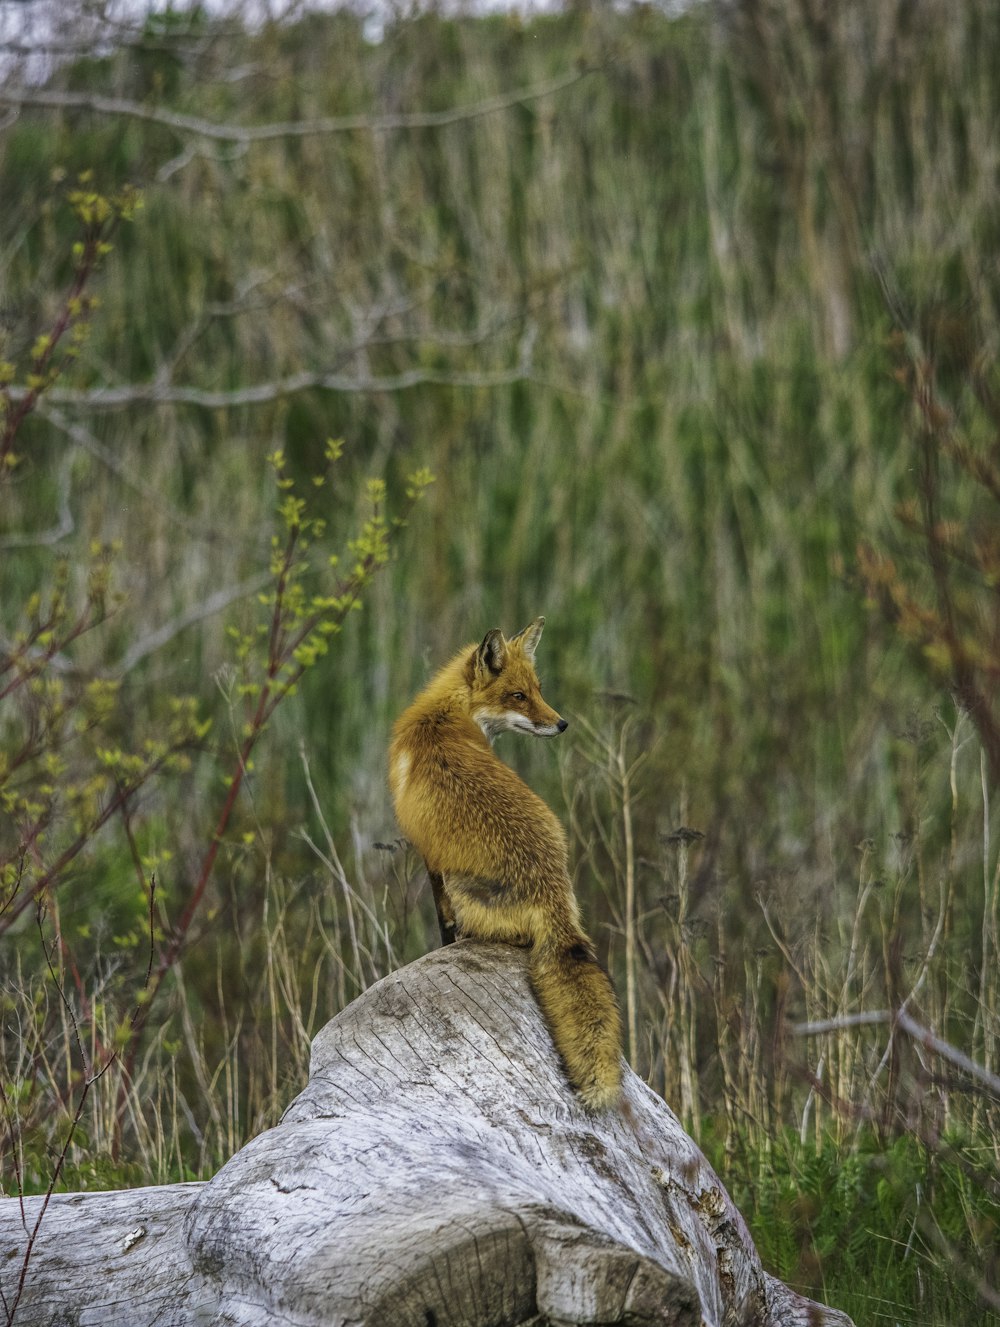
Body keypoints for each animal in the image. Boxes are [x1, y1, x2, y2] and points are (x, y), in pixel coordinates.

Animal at [384, 618, 620, 1109]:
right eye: (519, 695)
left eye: (537, 690)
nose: (562, 723)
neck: (446, 719)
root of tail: (551, 894)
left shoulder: (431, 858)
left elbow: (443, 925)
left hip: (464, 888)